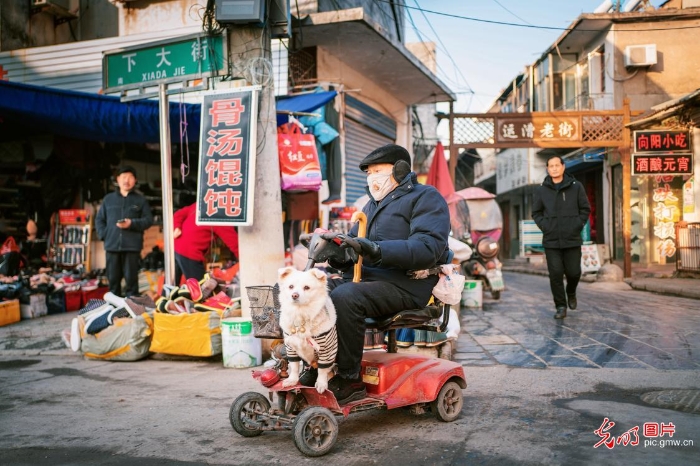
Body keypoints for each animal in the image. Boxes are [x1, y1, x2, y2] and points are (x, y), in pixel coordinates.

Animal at [276, 266, 336, 394]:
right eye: (291, 286)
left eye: (307, 287)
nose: (294, 295)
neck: (300, 315)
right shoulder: (291, 347)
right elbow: (294, 366)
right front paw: (292, 380)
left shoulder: (326, 351)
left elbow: (322, 370)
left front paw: (321, 383)